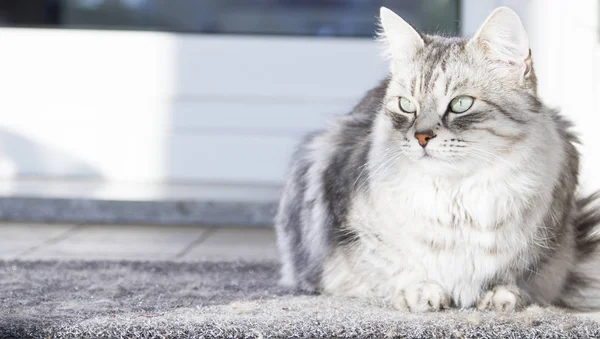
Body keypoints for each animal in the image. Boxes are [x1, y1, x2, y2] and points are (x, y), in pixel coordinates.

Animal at [274, 5, 600, 314]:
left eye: (461, 104)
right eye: (406, 106)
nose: (421, 137)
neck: (456, 199)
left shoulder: (543, 253)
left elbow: (513, 278)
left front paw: (501, 297)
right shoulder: (352, 247)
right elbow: (396, 270)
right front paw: (421, 293)